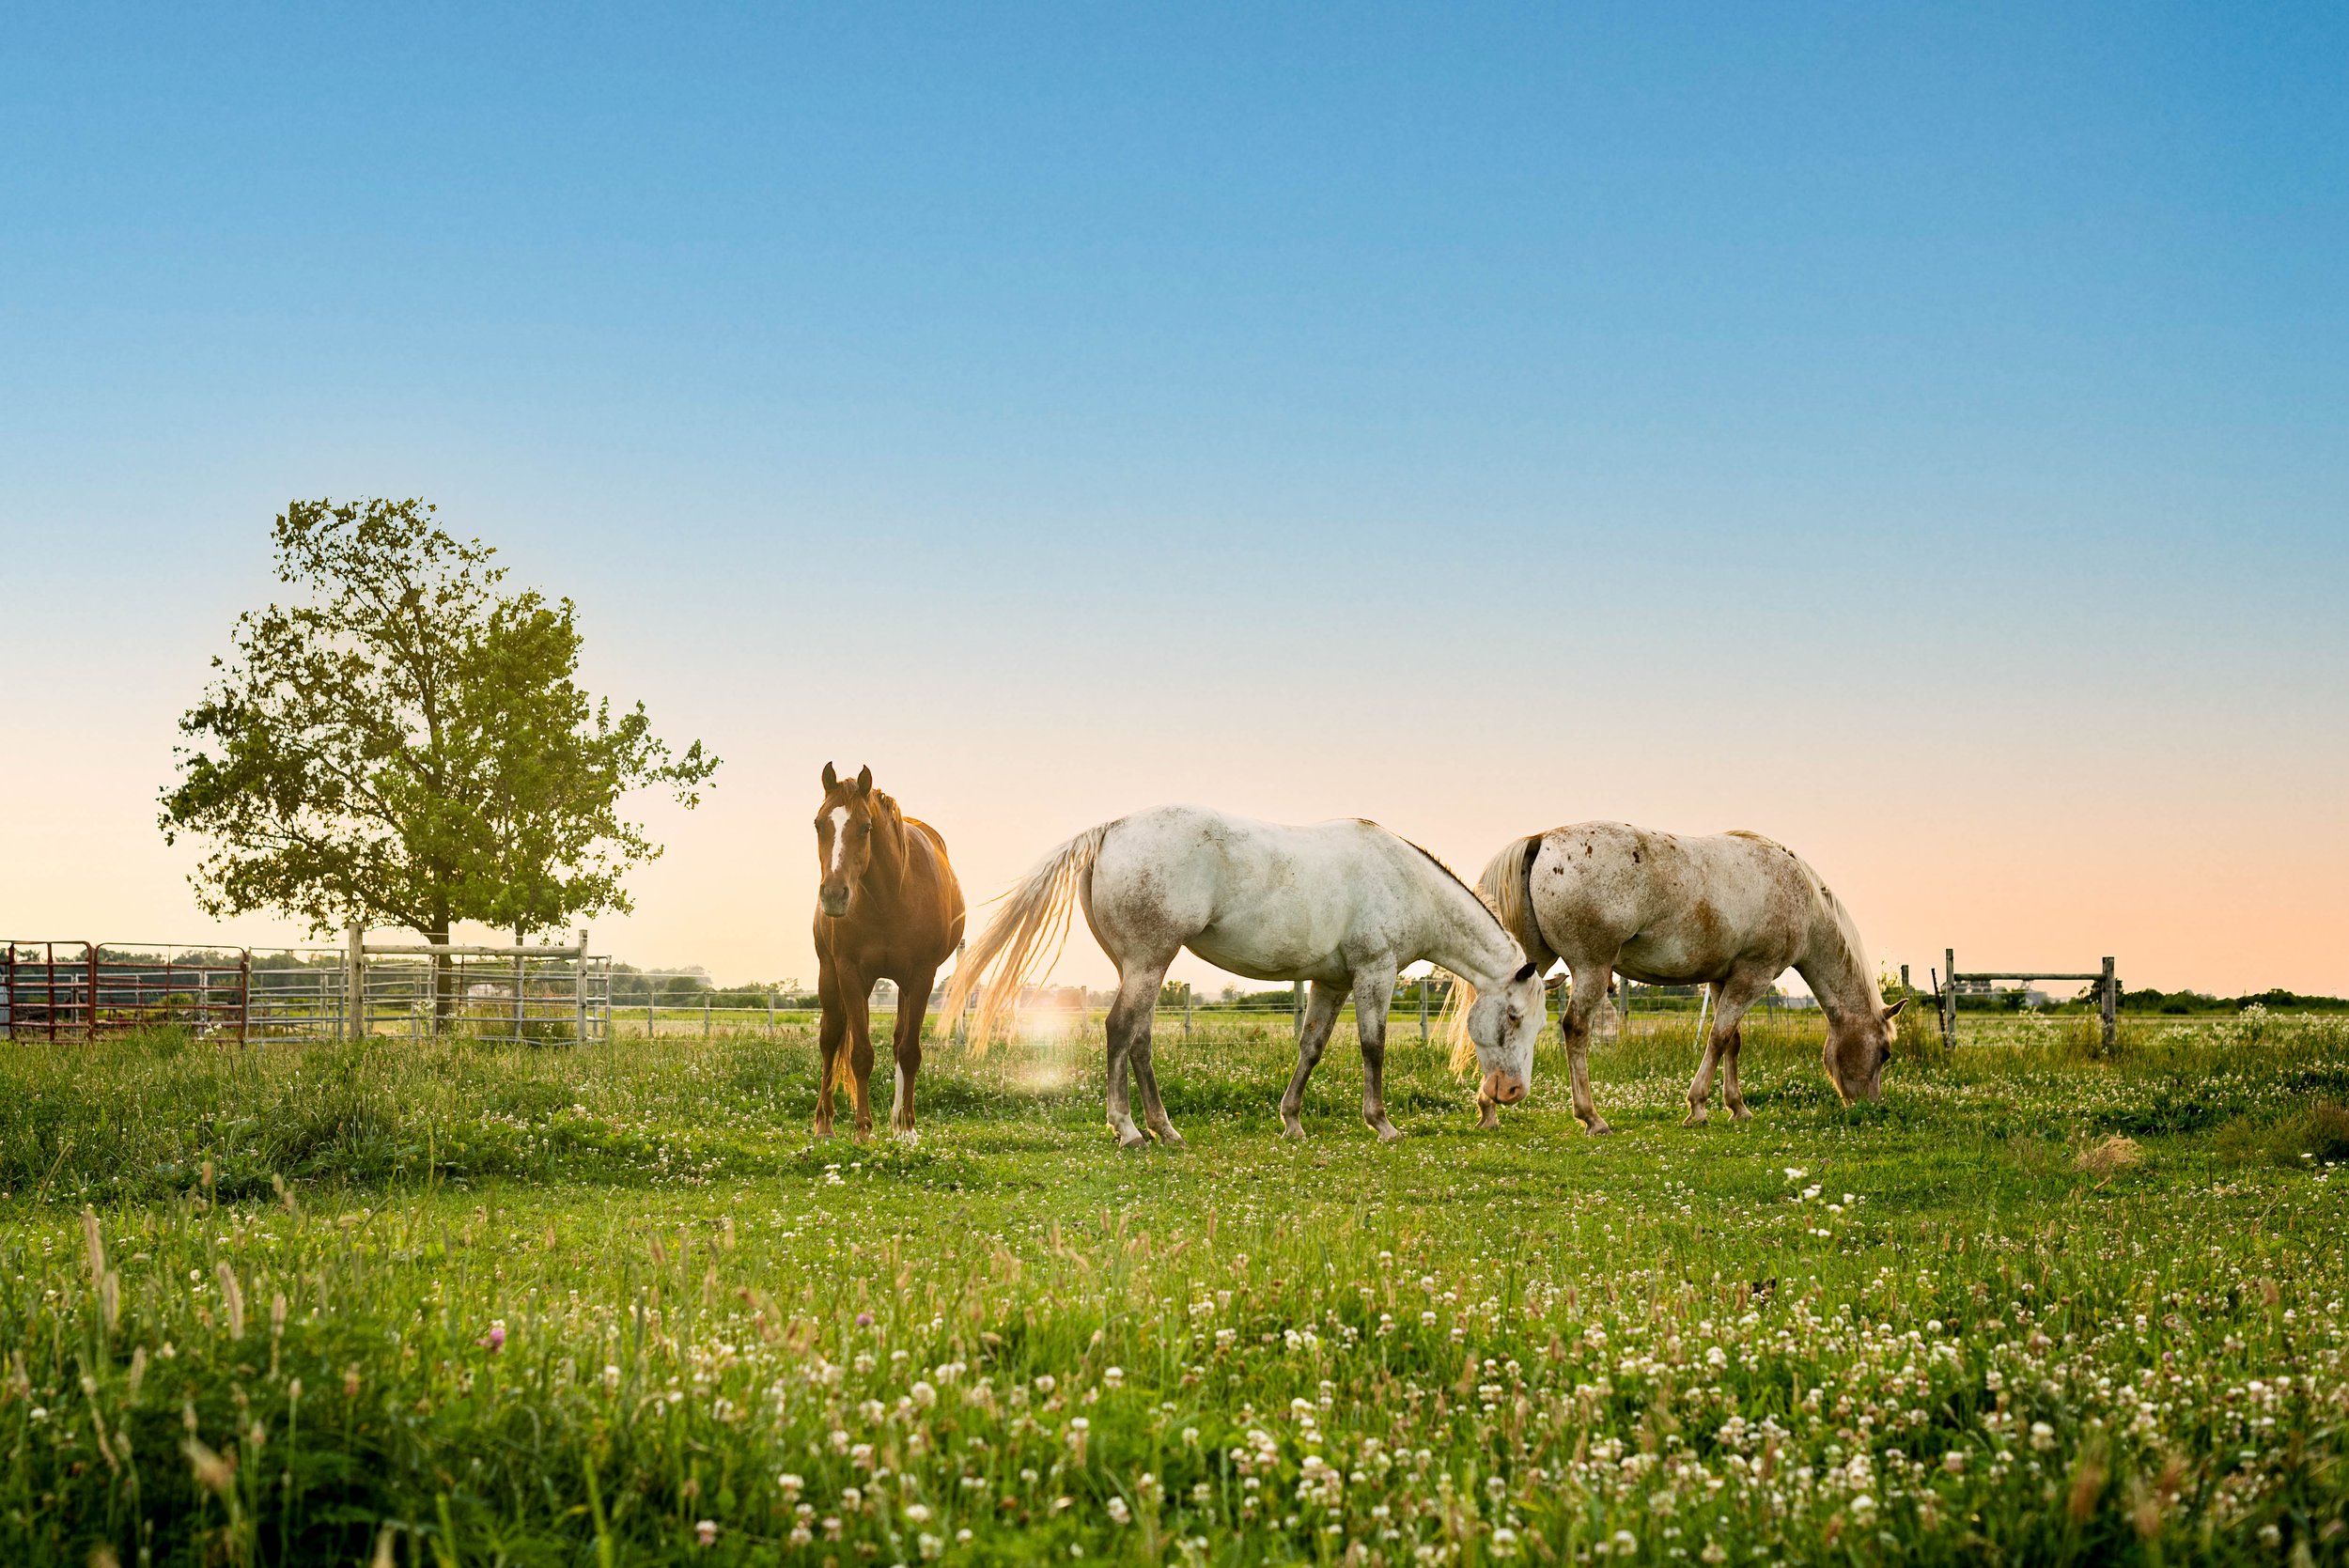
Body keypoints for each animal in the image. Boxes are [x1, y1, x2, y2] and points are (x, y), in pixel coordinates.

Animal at [808, 760, 954, 1141]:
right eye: (818, 824)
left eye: (866, 827)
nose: (833, 895)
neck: (890, 897)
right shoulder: (850, 973)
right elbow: (859, 1053)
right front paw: (862, 1129)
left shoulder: (922, 976)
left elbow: (910, 1052)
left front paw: (907, 1127)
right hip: (828, 974)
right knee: (830, 1039)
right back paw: (824, 1123)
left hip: (904, 985)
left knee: (900, 1042)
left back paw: (900, 1122)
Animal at [1466, 821, 1907, 1141]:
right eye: (1885, 1053)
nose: (1868, 1107)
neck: (1802, 896)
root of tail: (1541, 840)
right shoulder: (1754, 975)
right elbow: (1718, 1037)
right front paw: (1698, 1106)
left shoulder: (1723, 978)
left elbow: (1732, 1042)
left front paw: (1737, 1106)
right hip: (1591, 967)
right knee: (1575, 1030)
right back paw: (1591, 1117)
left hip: (1528, 964)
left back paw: (1489, 1106)